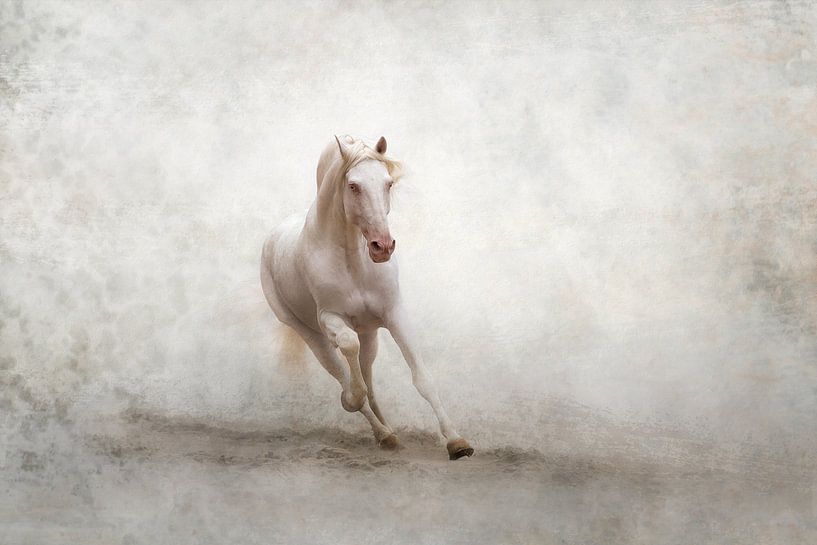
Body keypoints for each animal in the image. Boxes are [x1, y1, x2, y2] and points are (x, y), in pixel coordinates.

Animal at [260, 135, 473, 460]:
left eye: (388, 183)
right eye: (353, 186)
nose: (382, 247)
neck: (352, 260)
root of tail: (271, 239)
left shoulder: (394, 314)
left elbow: (422, 378)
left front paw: (457, 442)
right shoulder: (330, 317)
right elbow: (349, 356)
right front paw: (350, 400)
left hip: (370, 332)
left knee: (368, 376)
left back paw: (389, 433)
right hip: (309, 333)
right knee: (341, 371)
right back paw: (381, 432)